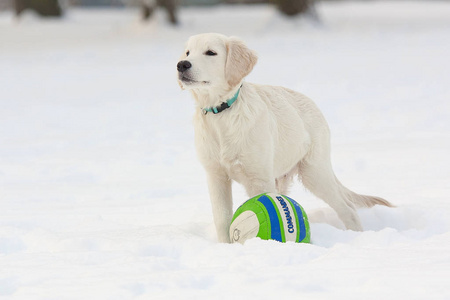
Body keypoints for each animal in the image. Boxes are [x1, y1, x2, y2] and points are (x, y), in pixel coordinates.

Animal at [178, 33, 392, 244]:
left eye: (210, 52)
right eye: (188, 52)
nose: (181, 65)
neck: (222, 114)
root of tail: (313, 104)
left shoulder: (259, 178)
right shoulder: (216, 176)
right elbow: (222, 218)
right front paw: (225, 247)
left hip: (314, 172)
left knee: (347, 208)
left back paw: (357, 237)